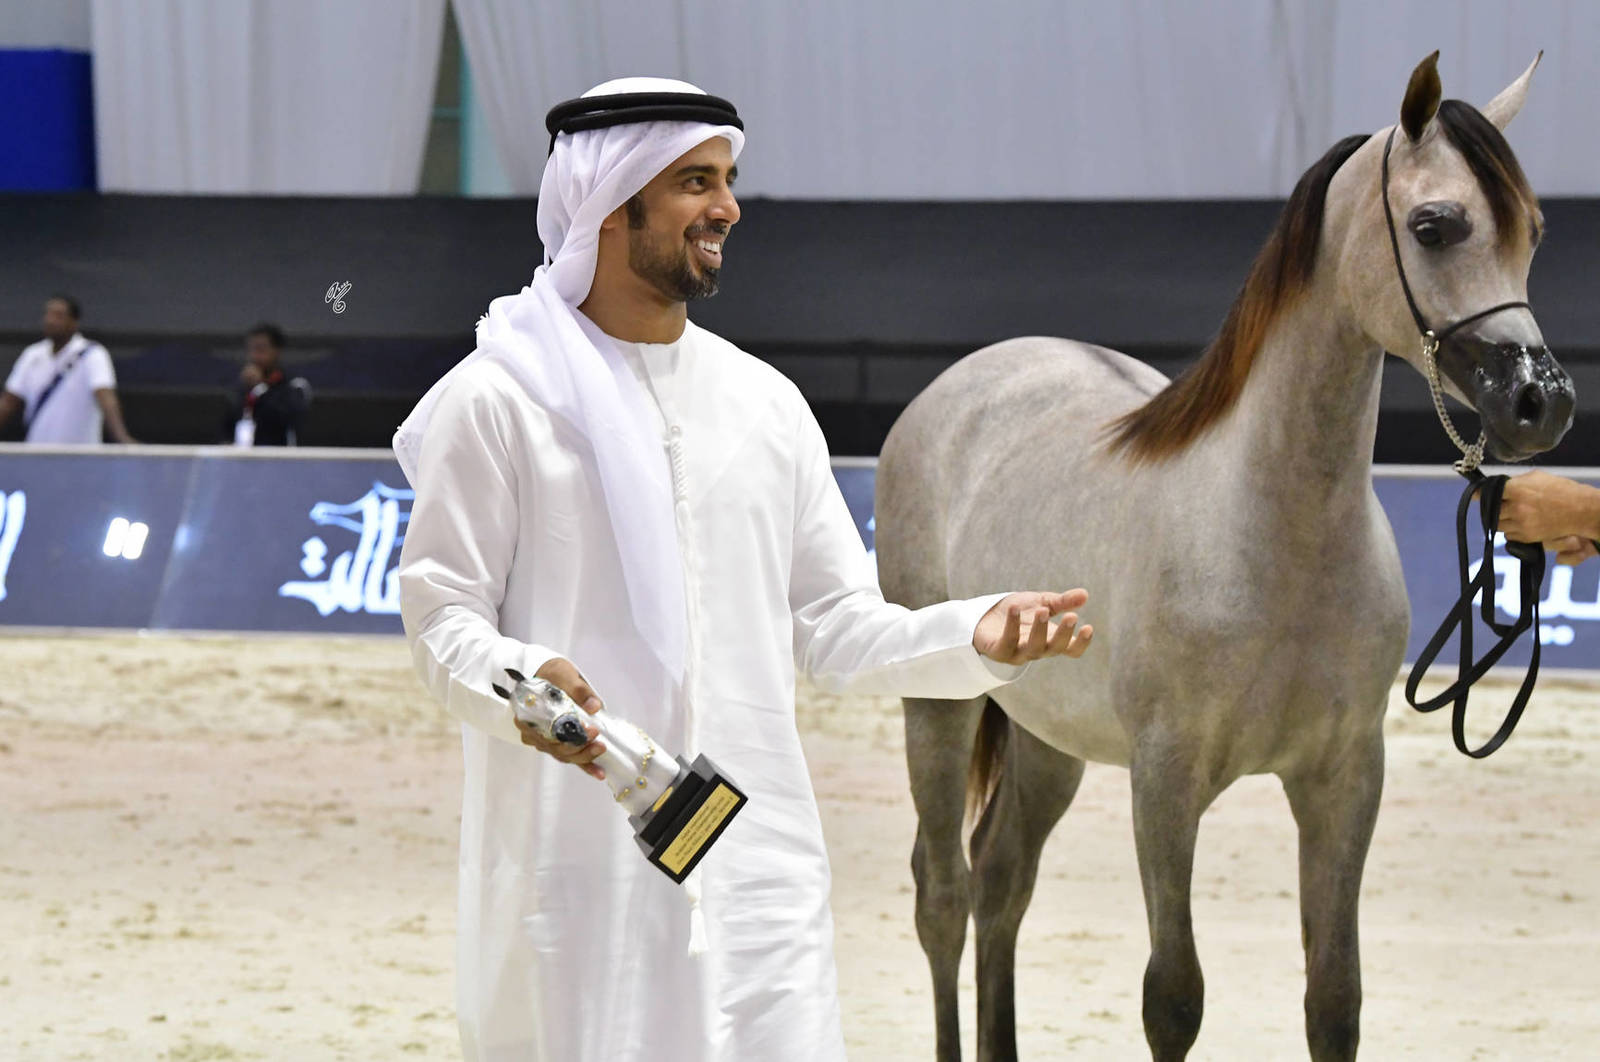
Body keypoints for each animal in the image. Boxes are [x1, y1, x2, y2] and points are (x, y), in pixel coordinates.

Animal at [875, 53, 1574, 1062]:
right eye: (1434, 226)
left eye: (1532, 232)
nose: (1541, 401)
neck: (1273, 538)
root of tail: (957, 388)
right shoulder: (1165, 787)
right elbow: (1173, 998)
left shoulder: (1343, 781)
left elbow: (1335, 999)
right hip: (938, 709)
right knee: (944, 897)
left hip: (1048, 737)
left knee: (1001, 883)